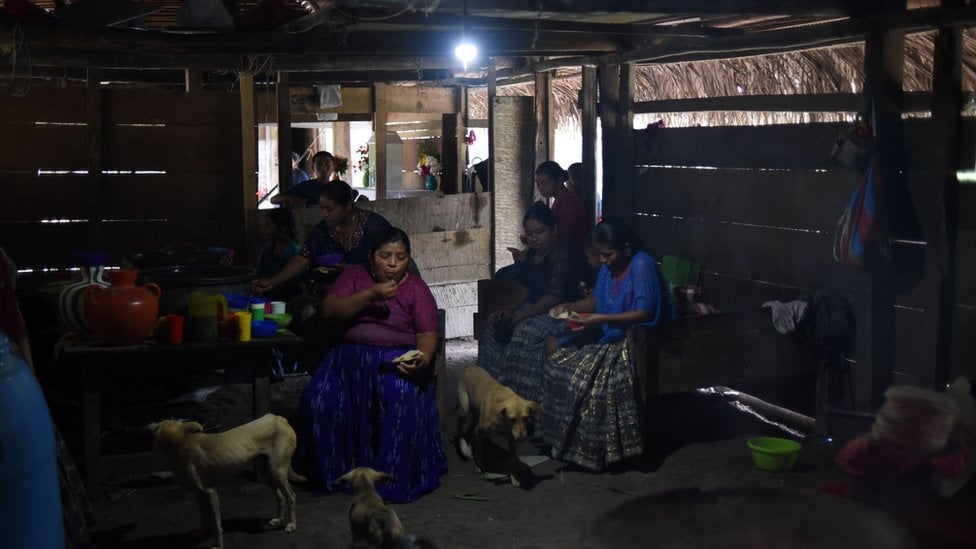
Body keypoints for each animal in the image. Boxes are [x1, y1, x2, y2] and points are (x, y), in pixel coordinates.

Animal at [144, 414, 304, 544]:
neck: (178, 446)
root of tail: (279, 418)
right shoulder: (199, 494)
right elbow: (204, 518)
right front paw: (200, 534)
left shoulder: (211, 492)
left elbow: (216, 525)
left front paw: (217, 545)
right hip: (267, 473)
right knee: (280, 497)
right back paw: (277, 520)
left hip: (276, 472)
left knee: (291, 497)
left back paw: (292, 524)